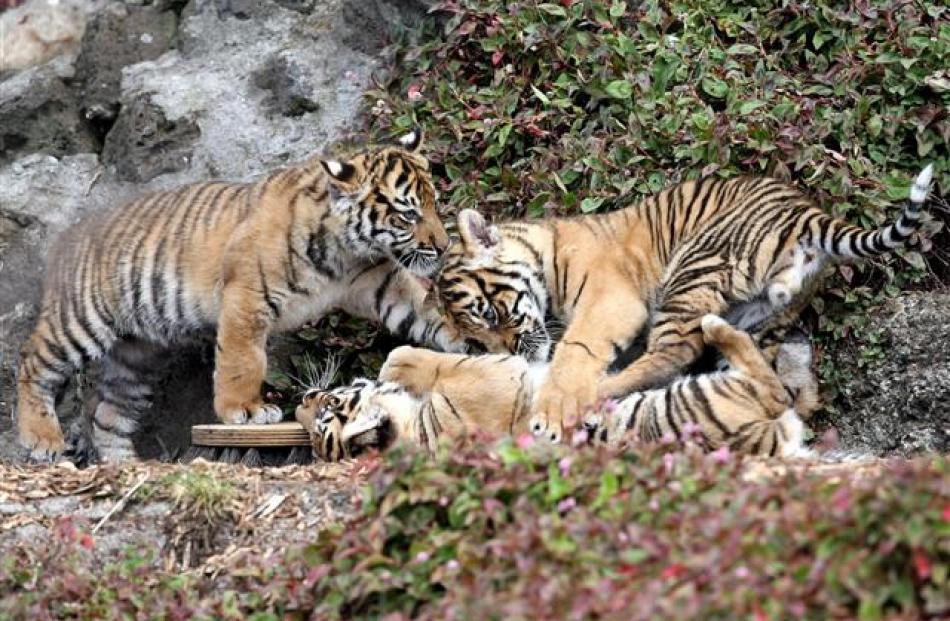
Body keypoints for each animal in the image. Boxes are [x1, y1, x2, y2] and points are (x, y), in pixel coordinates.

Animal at [15, 129, 464, 462]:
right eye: (408, 213)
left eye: (433, 204)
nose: (443, 246)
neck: (347, 250)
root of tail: (70, 232)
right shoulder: (246, 298)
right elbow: (243, 360)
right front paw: (245, 411)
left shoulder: (383, 283)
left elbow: (426, 311)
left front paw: (466, 341)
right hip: (82, 320)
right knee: (33, 364)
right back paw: (42, 440)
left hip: (137, 354)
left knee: (109, 413)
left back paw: (126, 466)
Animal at [294, 314, 819, 461]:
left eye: (327, 404)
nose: (302, 399)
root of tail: (771, 443)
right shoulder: (499, 373)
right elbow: (445, 362)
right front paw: (398, 362)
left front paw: (390, 367)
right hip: (708, 395)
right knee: (773, 387)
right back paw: (720, 328)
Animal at [434, 164, 935, 442]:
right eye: (478, 342)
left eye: (489, 313)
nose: (510, 353)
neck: (545, 247)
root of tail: (805, 212)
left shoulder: (610, 301)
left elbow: (575, 352)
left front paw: (552, 412)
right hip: (768, 313)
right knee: (774, 384)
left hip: (692, 266)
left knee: (675, 352)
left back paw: (603, 395)